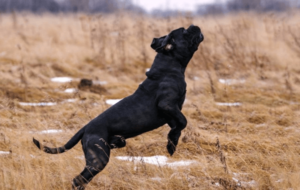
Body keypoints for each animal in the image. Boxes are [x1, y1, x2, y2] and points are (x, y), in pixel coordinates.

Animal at [34, 25, 205, 190]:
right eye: (185, 32)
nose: (194, 26)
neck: (169, 66)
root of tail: (85, 128)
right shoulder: (167, 105)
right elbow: (183, 121)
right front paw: (171, 144)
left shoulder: (171, 113)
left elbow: (177, 125)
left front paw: (172, 142)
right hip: (99, 158)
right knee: (78, 180)